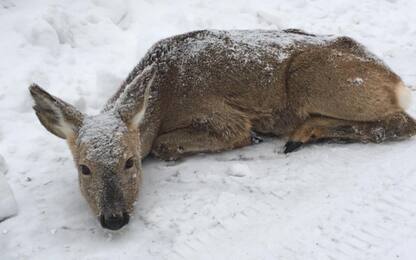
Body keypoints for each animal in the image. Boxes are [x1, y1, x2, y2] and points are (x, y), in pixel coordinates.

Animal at [30, 29, 416, 231]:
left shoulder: (222, 116)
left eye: (129, 162)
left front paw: (254, 136)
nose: (114, 219)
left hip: (311, 81)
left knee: (402, 123)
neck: (166, 89)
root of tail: (396, 82)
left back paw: (300, 135)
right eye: (84, 168)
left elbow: (167, 145)